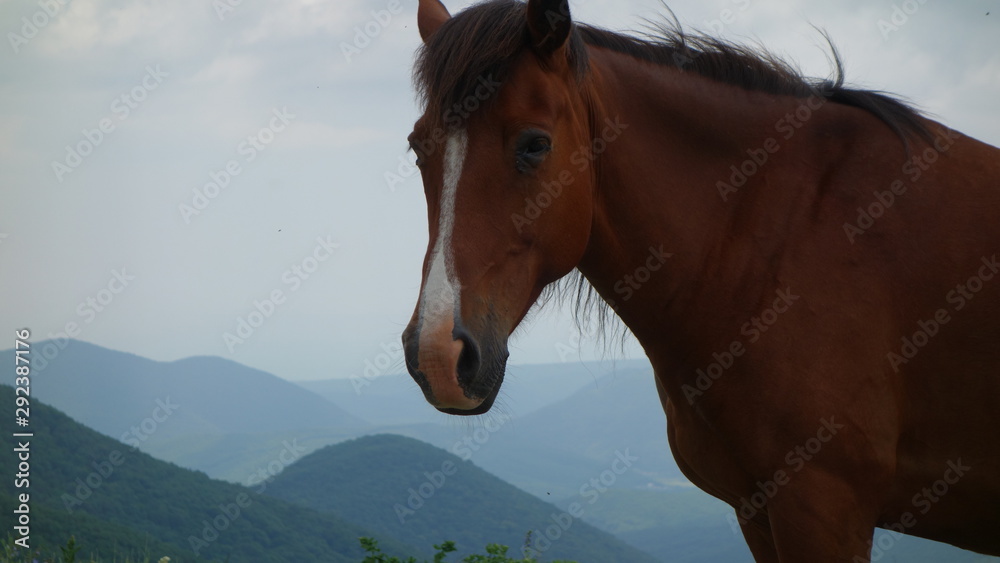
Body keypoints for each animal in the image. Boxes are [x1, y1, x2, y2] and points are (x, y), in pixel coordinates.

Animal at [399, 0, 1000, 560]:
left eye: (534, 144)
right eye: (417, 147)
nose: (438, 355)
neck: (787, 234)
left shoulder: (826, 506)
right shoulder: (756, 512)